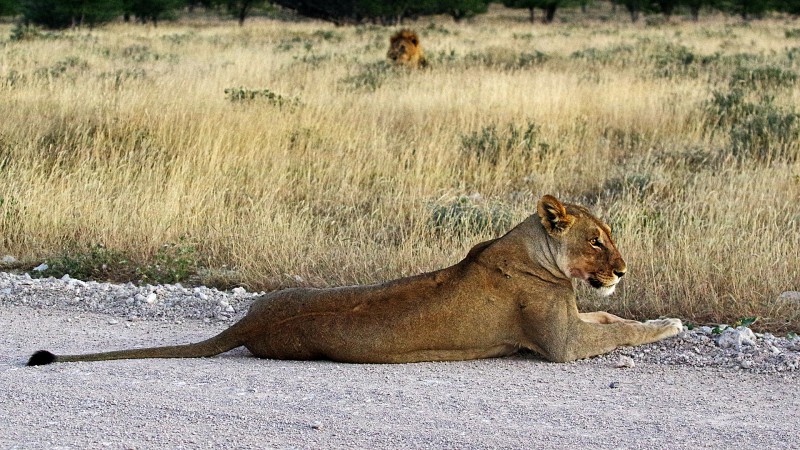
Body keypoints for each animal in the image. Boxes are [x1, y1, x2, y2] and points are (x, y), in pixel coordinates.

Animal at [29, 195, 680, 368]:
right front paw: (670, 323)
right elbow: (622, 331)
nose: (623, 270)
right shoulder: (561, 345)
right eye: (596, 241)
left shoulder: (576, 320)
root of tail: (250, 318)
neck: (540, 255)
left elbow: (612, 317)